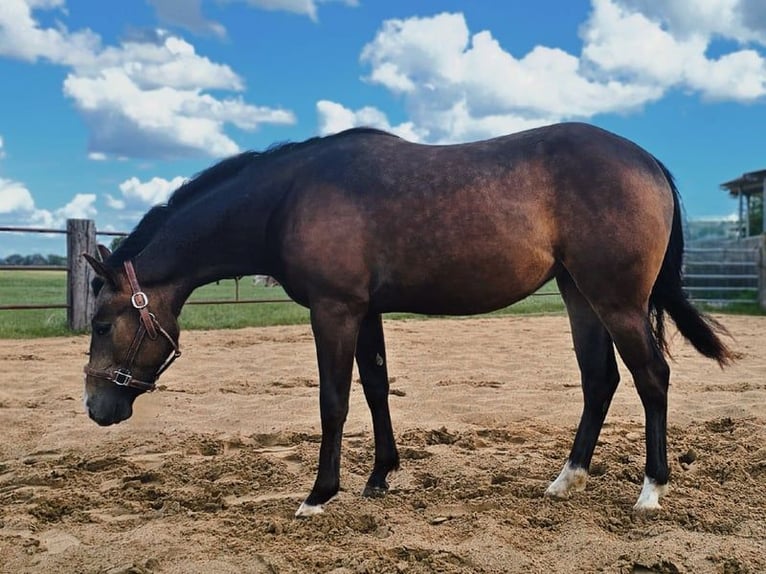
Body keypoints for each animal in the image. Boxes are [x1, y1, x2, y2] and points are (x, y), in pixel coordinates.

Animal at [82, 122, 736, 517]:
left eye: (101, 323)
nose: (96, 407)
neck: (289, 197)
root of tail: (646, 160)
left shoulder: (335, 309)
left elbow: (335, 400)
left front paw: (319, 495)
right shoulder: (363, 310)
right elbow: (375, 387)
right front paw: (379, 478)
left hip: (616, 299)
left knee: (652, 379)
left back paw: (650, 491)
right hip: (581, 295)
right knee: (600, 381)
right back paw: (566, 479)